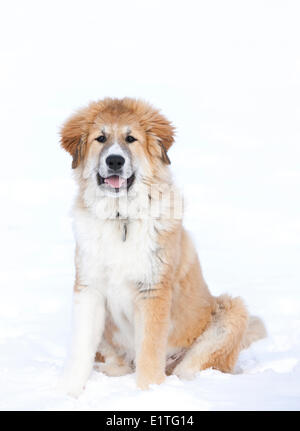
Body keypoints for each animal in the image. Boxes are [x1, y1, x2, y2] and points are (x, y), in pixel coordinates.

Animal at [59, 98, 266, 398]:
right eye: (101, 138)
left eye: (130, 139)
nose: (114, 160)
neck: (121, 219)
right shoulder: (89, 289)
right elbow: (80, 349)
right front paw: (68, 393)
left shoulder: (152, 291)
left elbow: (149, 351)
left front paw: (149, 394)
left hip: (231, 313)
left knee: (188, 368)